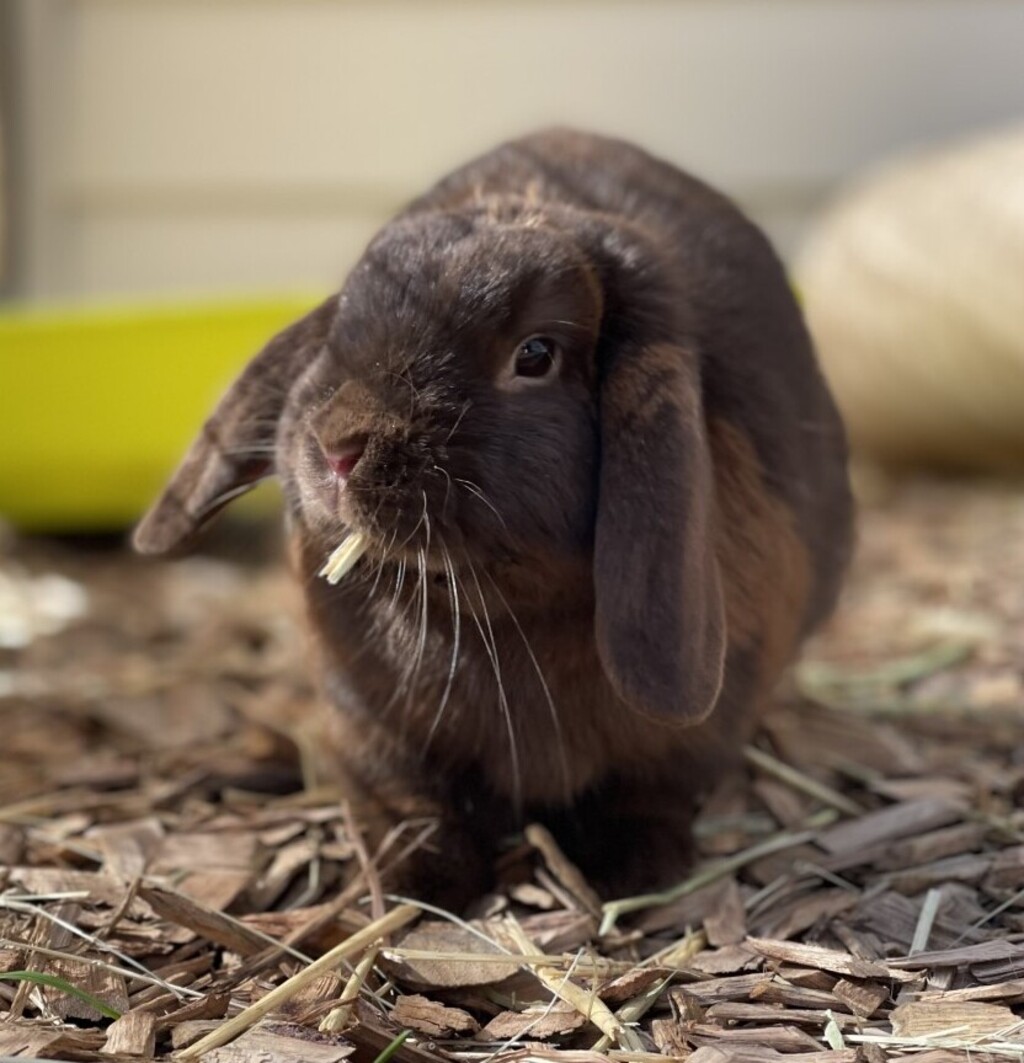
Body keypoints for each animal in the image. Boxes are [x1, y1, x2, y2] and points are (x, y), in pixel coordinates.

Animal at [134, 128, 853, 907]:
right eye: (342, 325)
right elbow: (407, 799)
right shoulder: (370, 725)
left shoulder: (685, 744)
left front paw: (628, 872)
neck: (490, 616)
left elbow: (648, 795)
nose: (338, 448)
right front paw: (420, 878)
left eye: (535, 354)